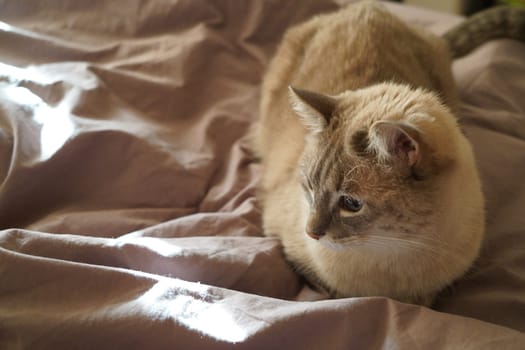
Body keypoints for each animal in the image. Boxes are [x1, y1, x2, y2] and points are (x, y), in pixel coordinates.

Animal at [252, 1, 494, 304]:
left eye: (351, 204)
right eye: (309, 188)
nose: (311, 233)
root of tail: (364, 6)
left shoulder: (433, 289)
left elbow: (426, 301)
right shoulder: (290, 250)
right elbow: (331, 291)